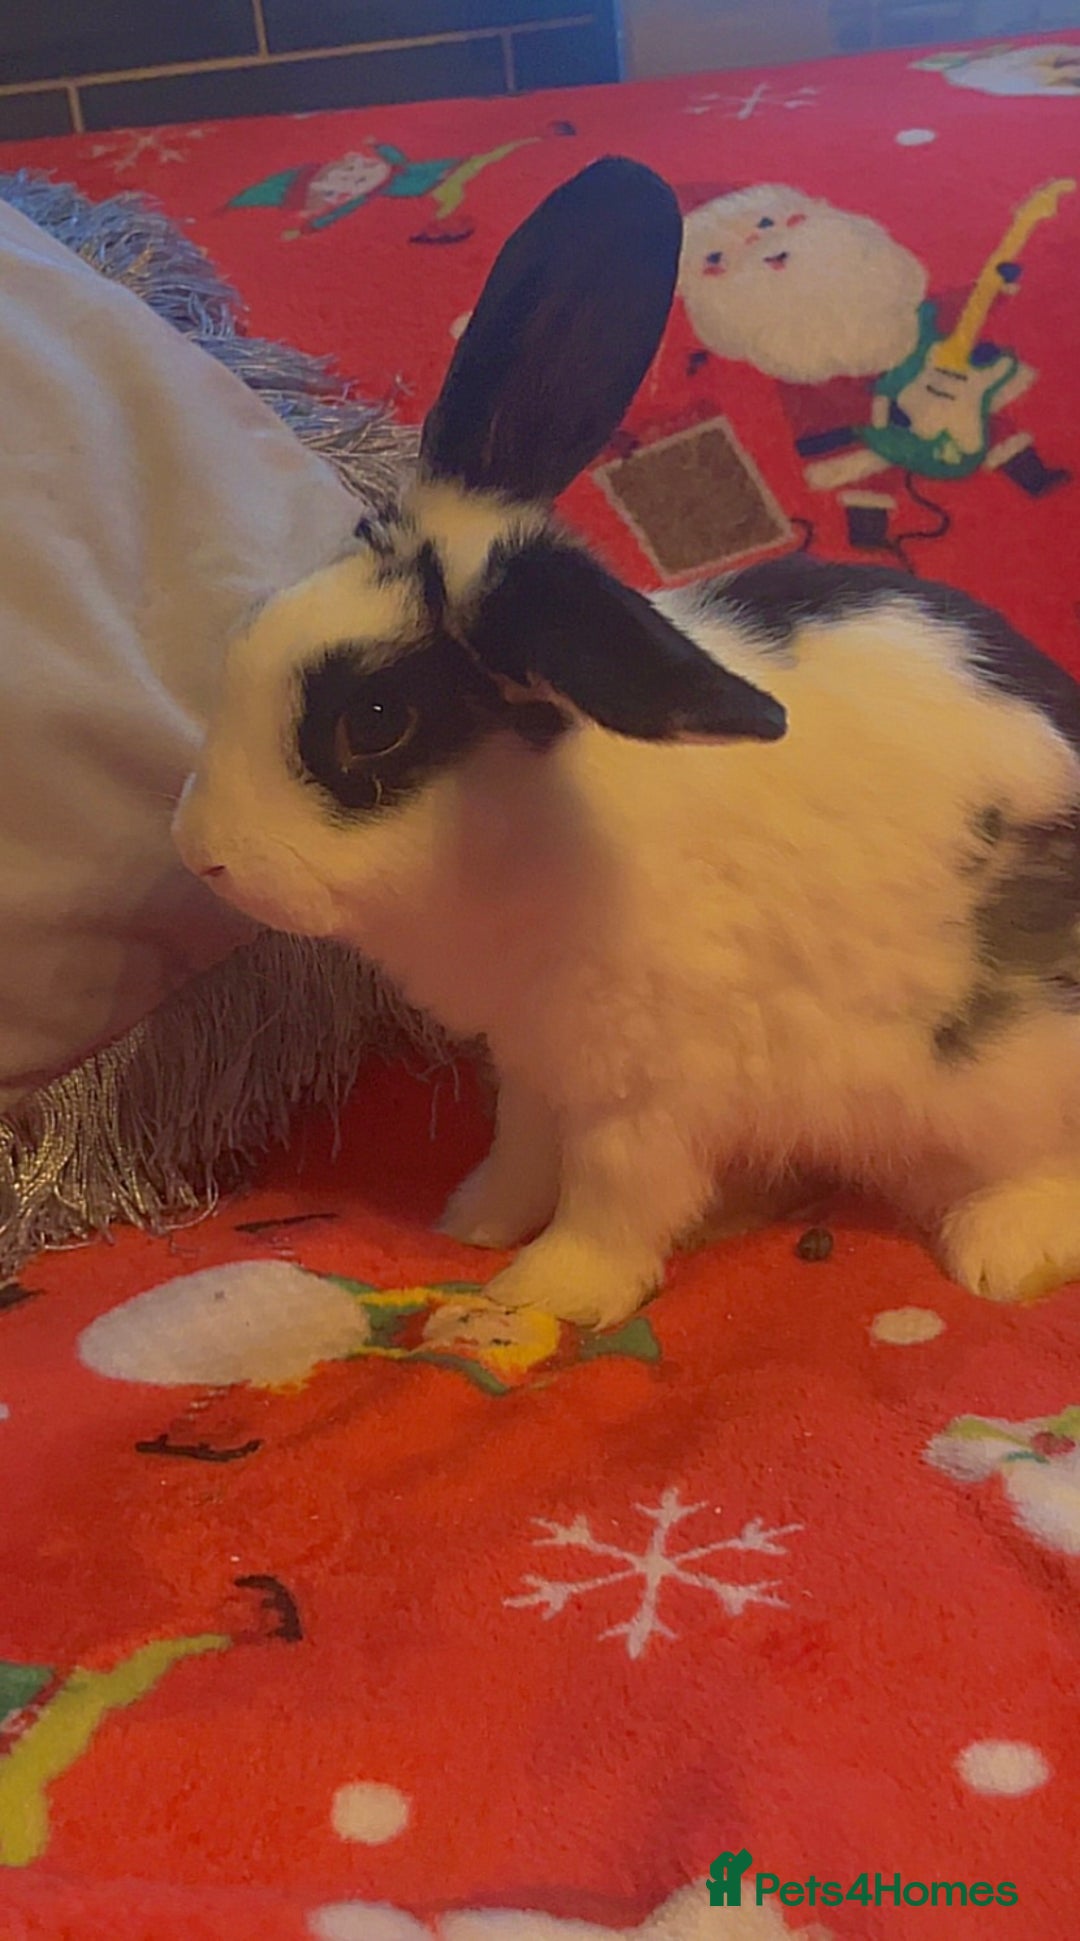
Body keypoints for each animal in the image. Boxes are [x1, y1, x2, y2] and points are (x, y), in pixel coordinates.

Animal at [175, 156, 1080, 1329]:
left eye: (375, 724)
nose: (201, 855)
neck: (539, 823)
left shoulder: (643, 1090)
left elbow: (614, 1195)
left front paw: (544, 1294)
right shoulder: (532, 1063)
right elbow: (522, 1149)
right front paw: (474, 1223)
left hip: (1009, 1075)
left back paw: (998, 1250)